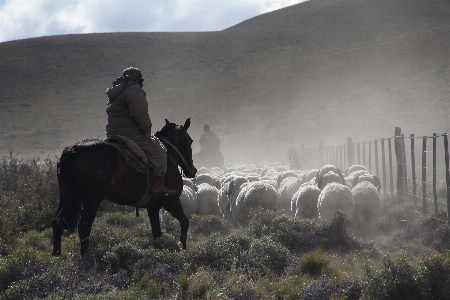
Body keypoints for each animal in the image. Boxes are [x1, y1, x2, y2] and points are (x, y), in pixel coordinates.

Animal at [51, 119, 196, 255]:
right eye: (190, 140)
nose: (192, 170)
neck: (168, 158)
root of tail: (73, 150)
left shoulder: (153, 207)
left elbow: (157, 233)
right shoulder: (171, 200)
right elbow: (184, 222)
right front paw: (182, 248)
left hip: (66, 196)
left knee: (57, 222)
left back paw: (56, 256)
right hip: (92, 200)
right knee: (84, 226)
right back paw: (86, 257)